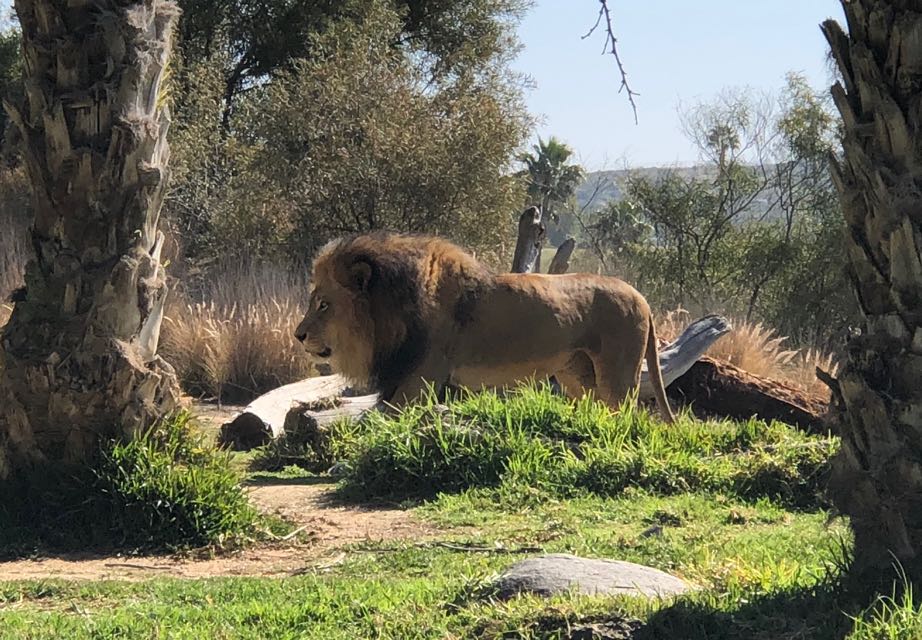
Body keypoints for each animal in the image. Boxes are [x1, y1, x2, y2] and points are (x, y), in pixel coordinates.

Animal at [294, 232, 676, 422]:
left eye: (324, 304)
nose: (298, 336)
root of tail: (642, 297)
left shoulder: (418, 379)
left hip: (617, 375)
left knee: (627, 416)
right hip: (577, 376)